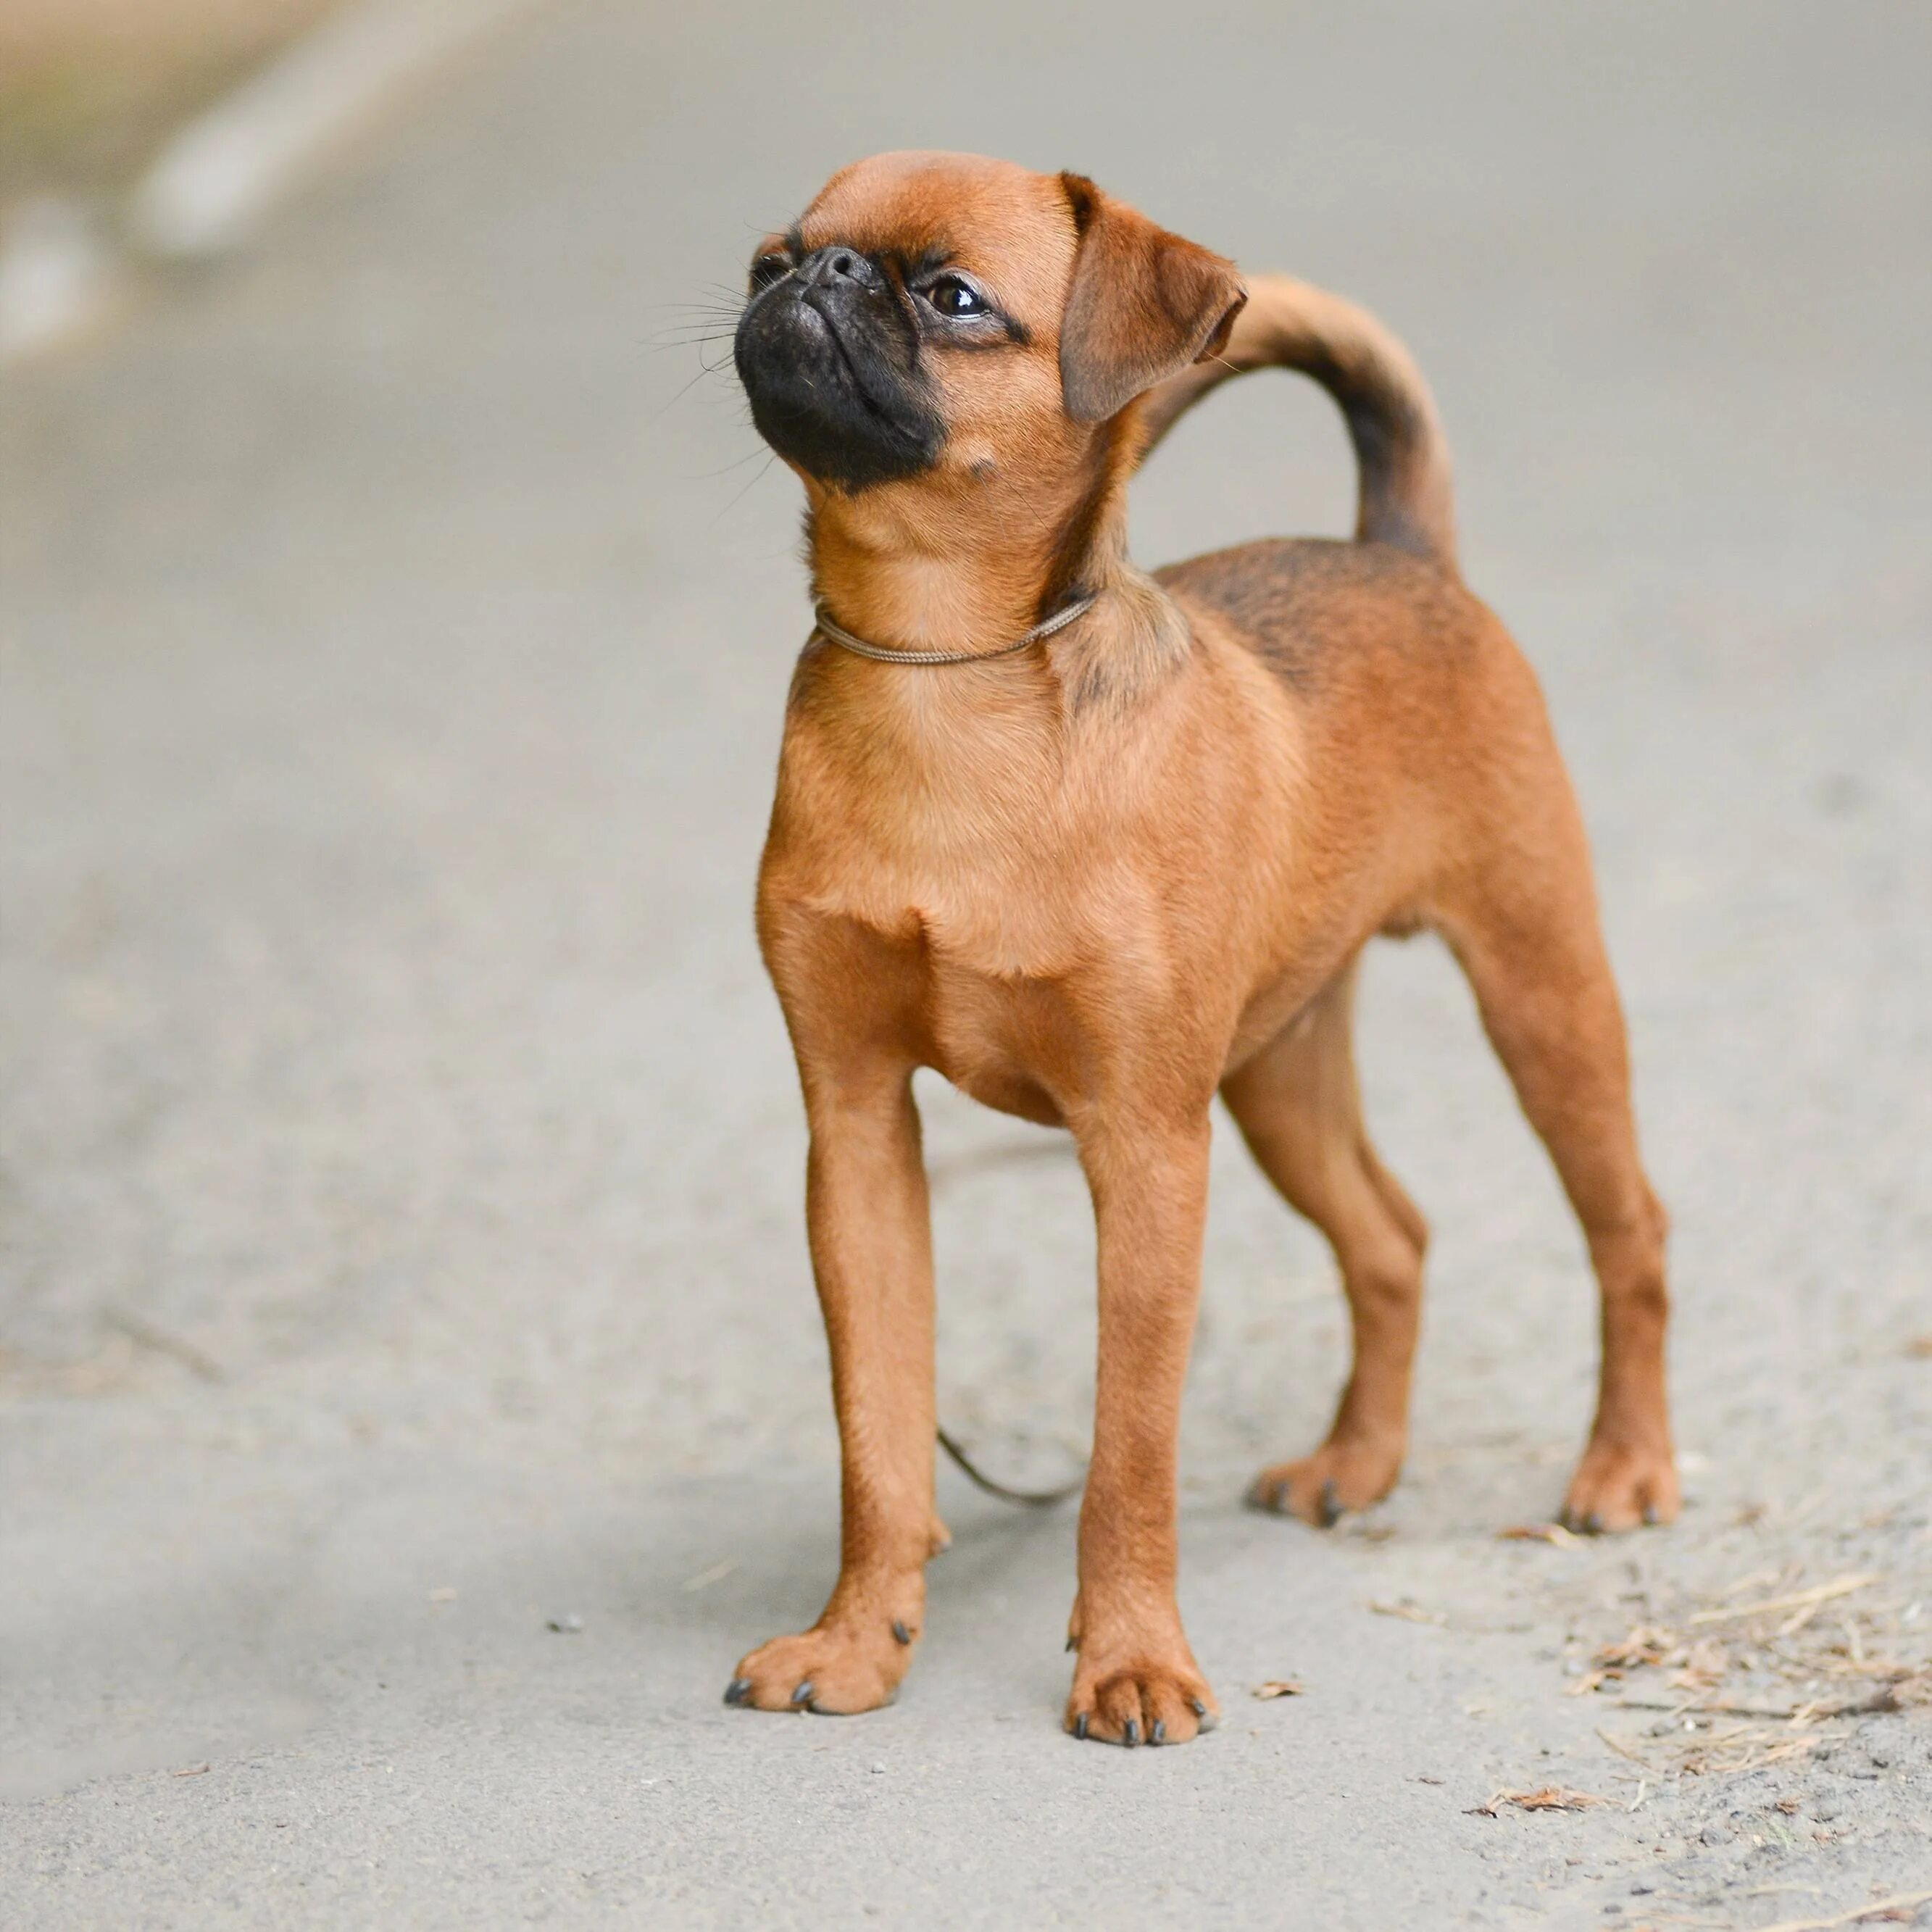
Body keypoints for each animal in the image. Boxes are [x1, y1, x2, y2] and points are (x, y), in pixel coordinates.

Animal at [726, 154, 1677, 1754]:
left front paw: (1128, 1662)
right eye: (769, 258)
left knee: (1629, 1233)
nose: (818, 275)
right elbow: (879, 1433)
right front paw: (858, 1640)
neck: (945, 676)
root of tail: (1394, 548)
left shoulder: (1147, 1149)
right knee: (1391, 1235)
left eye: (953, 296)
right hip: (1279, 1070)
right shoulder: (855, 1140)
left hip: (1540, 998)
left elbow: (1128, 1449)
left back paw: (1626, 1468)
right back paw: (1355, 1461)